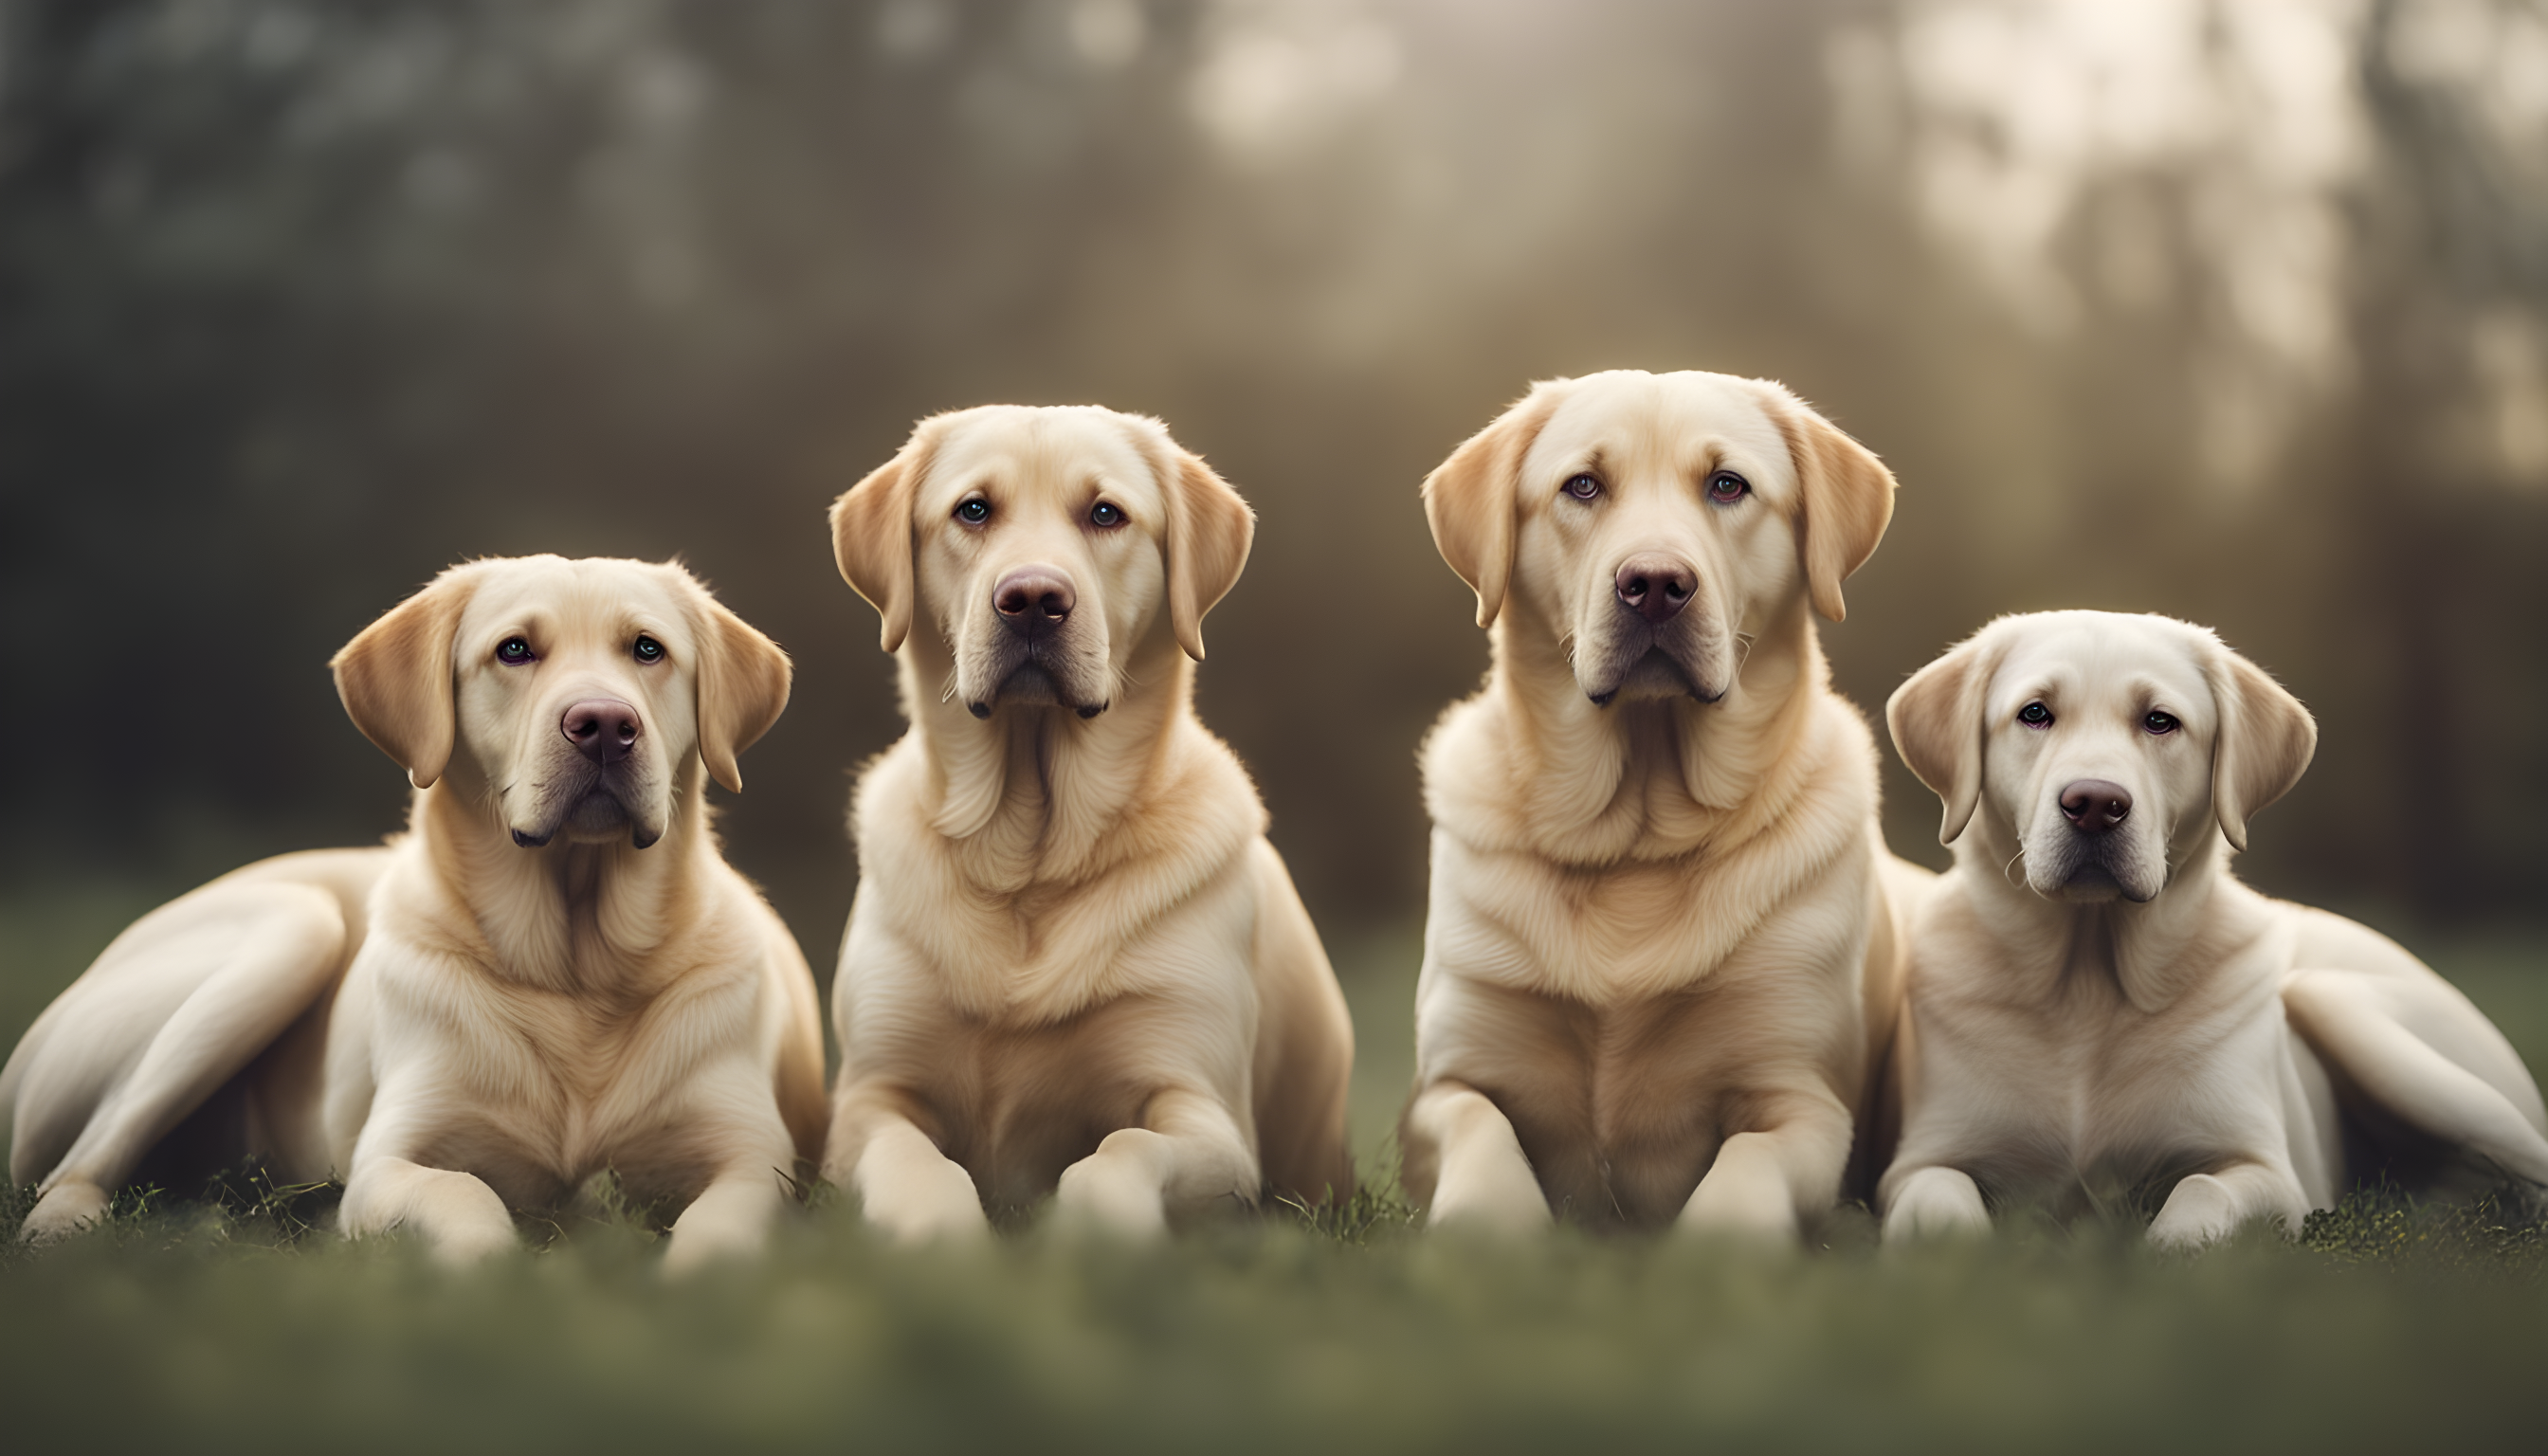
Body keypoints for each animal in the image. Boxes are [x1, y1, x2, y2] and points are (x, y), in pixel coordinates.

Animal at [0, 553, 815, 1269]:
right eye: (513, 650)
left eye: (648, 649)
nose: (606, 725)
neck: (577, 973)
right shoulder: (389, 1162)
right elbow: (467, 1199)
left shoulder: (756, 1161)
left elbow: (718, 1230)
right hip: (291, 930)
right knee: (74, 1169)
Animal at [825, 410, 1365, 1244]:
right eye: (973, 510)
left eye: (1106, 514)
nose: (1033, 598)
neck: (1031, 856)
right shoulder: (869, 1099)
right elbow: (914, 1161)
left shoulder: (1203, 1114)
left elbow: (1116, 1155)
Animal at [1406, 370, 1916, 1233]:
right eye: (1582, 486)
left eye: (1727, 485)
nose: (1653, 586)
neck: (1635, 841)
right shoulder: (1446, 1081)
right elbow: (1483, 1141)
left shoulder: (1804, 1103)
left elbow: (1738, 1183)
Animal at [1875, 609, 2548, 1249]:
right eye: (2034, 714)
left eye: (2160, 721)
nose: (2094, 804)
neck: (2087, 982)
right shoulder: (1919, 1162)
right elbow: (1943, 1204)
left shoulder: (2267, 1172)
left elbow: (2201, 1191)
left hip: (2340, 1009)